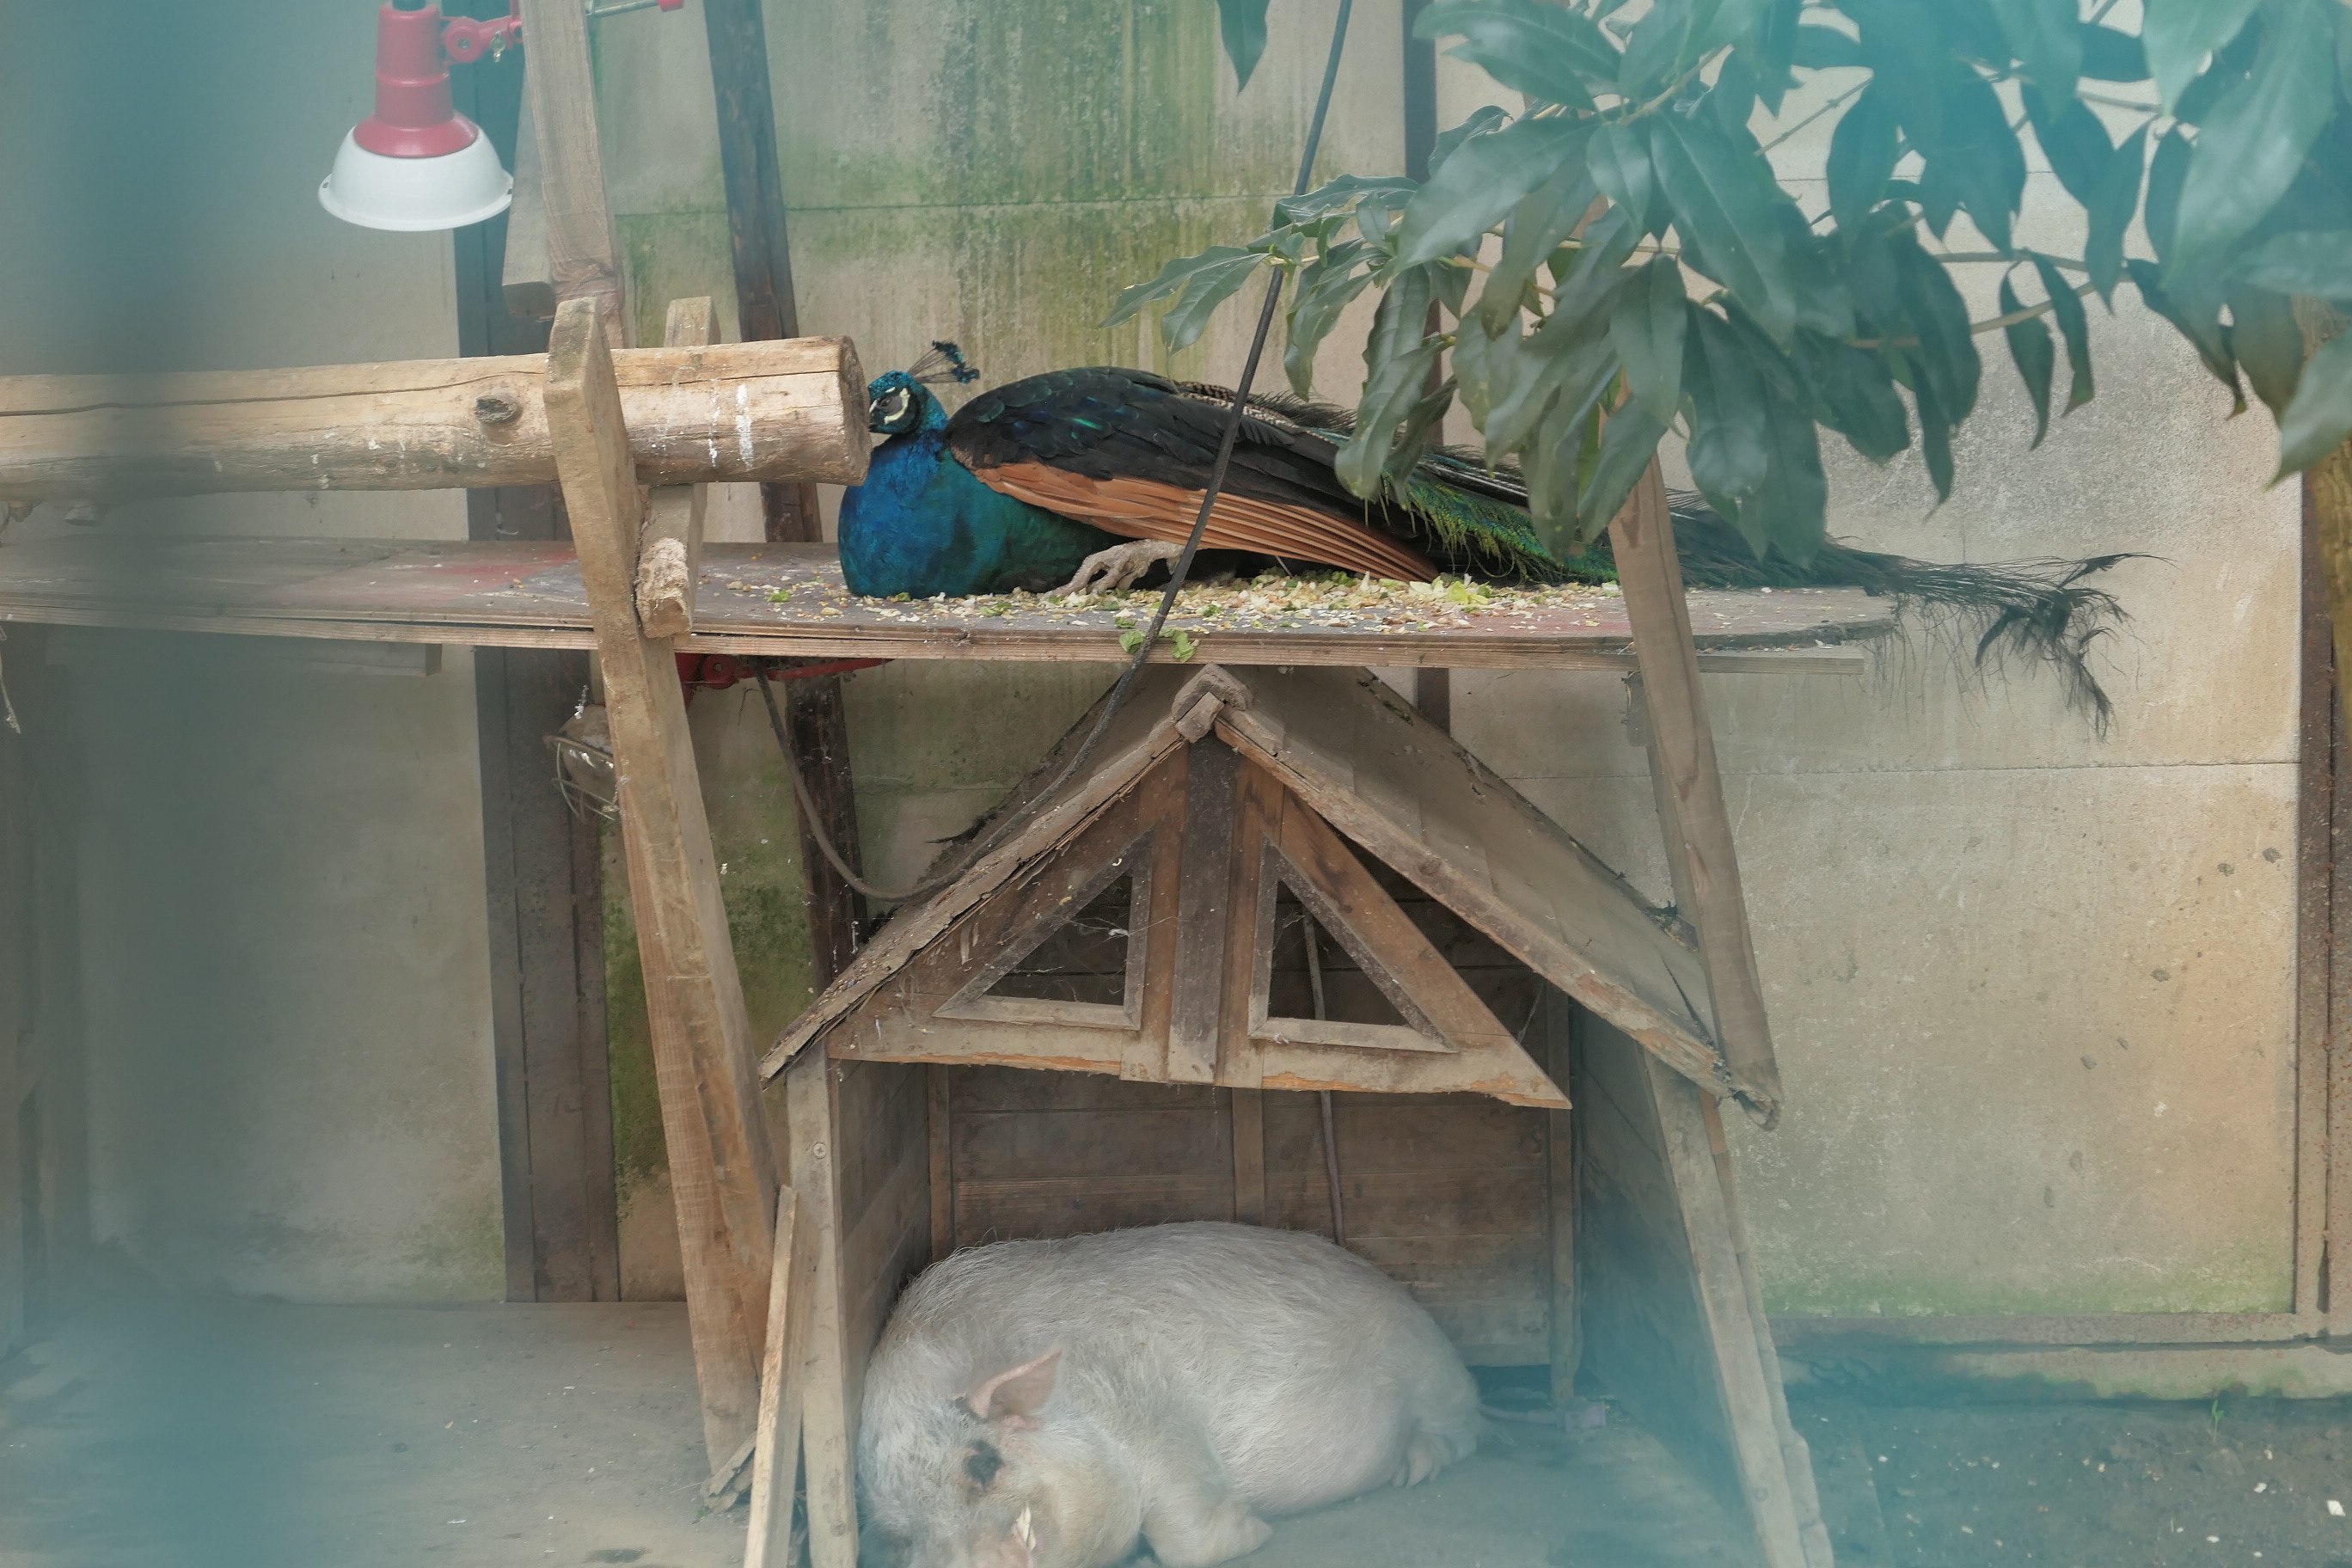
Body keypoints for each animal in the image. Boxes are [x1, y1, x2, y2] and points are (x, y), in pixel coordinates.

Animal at [857, 1220, 1482, 1568]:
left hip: (1437, 1377)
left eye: (983, 1464)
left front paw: (1257, 1528)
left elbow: (1185, 1532)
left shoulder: (1156, 1418)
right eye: (901, 1535)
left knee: (1465, 1429)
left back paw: (1414, 1470)